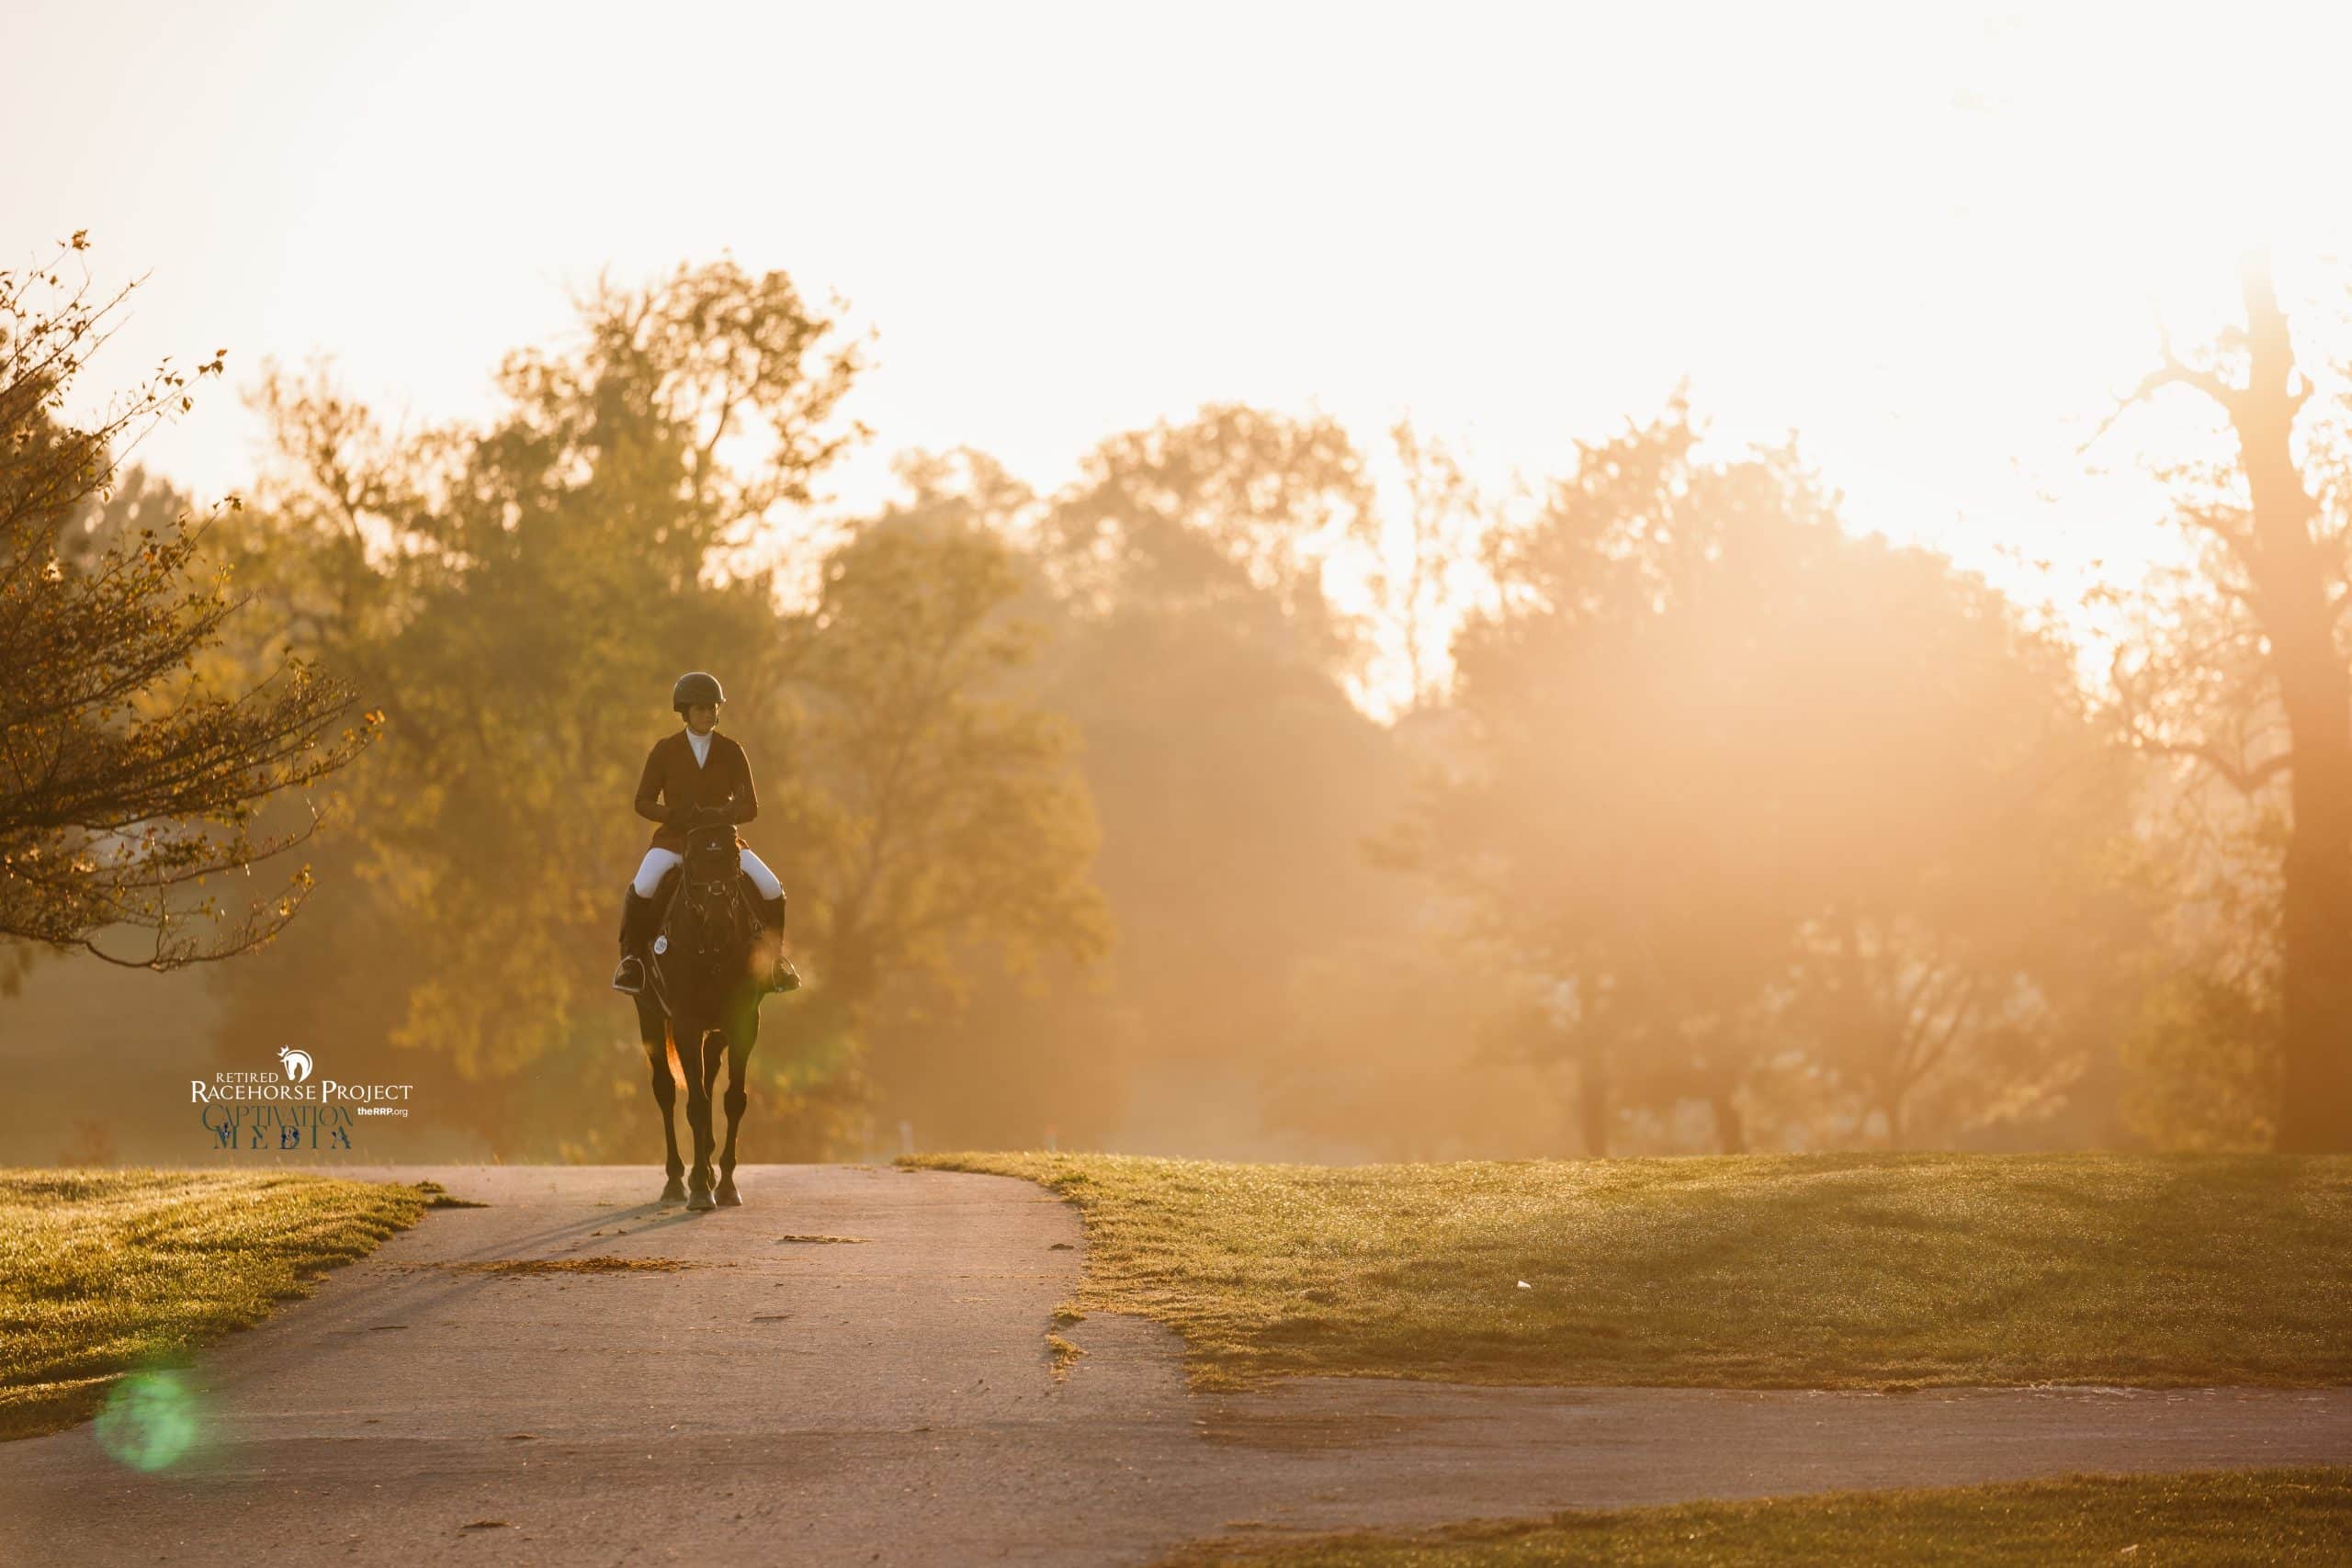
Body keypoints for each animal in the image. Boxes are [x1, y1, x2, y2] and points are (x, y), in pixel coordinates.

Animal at [630, 804, 775, 1213]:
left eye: (735, 859)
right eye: (694, 859)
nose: (719, 923)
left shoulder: (744, 1022)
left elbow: (733, 1101)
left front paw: (725, 1184)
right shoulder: (685, 1023)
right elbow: (695, 1104)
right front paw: (698, 1188)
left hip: (717, 1031)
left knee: (709, 1076)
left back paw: (708, 1167)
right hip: (649, 1016)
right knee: (665, 1090)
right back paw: (676, 1180)